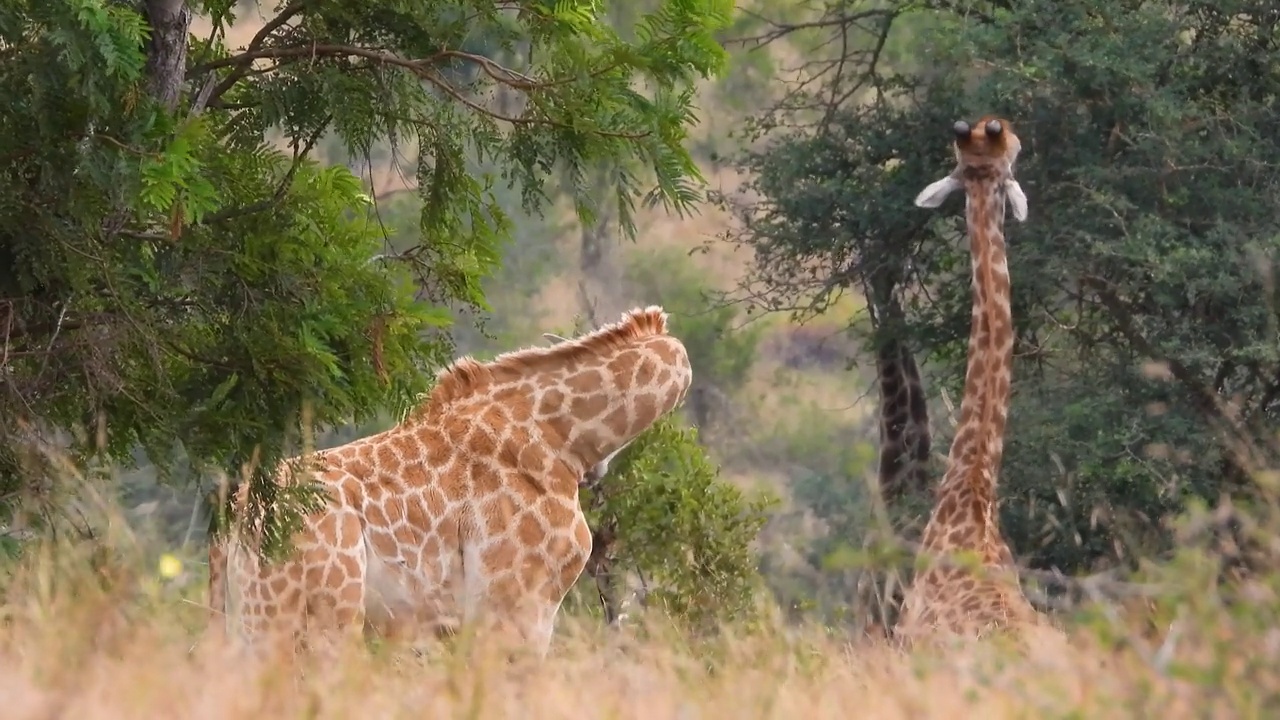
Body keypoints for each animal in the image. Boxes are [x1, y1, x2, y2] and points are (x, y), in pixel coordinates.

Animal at [209, 304, 696, 661]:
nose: (600, 475)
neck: (559, 436)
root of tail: (235, 518)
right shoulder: (517, 603)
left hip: (254, 618)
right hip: (319, 612)